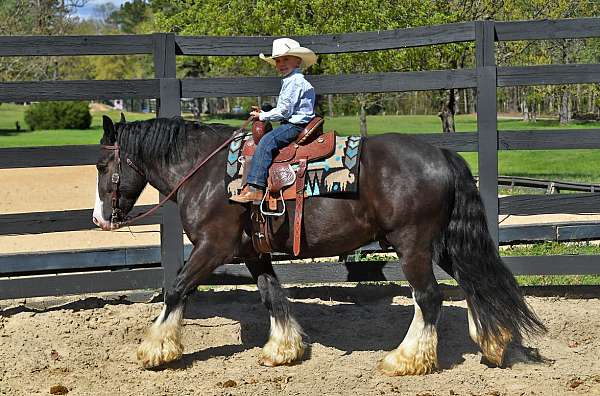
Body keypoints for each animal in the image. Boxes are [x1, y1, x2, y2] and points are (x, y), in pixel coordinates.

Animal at [91, 114, 548, 374]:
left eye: (101, 164)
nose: (98, 219)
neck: (207, 174)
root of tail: (440, 154)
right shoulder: (253, 253)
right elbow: (272, 296)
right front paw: (282, 350)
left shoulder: (212, 247)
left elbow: (176, 289)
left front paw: (155, 350)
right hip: (444, 245)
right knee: (473, 283)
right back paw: (494, 343)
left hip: (413, 246)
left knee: (429, 298)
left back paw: (405, 360)